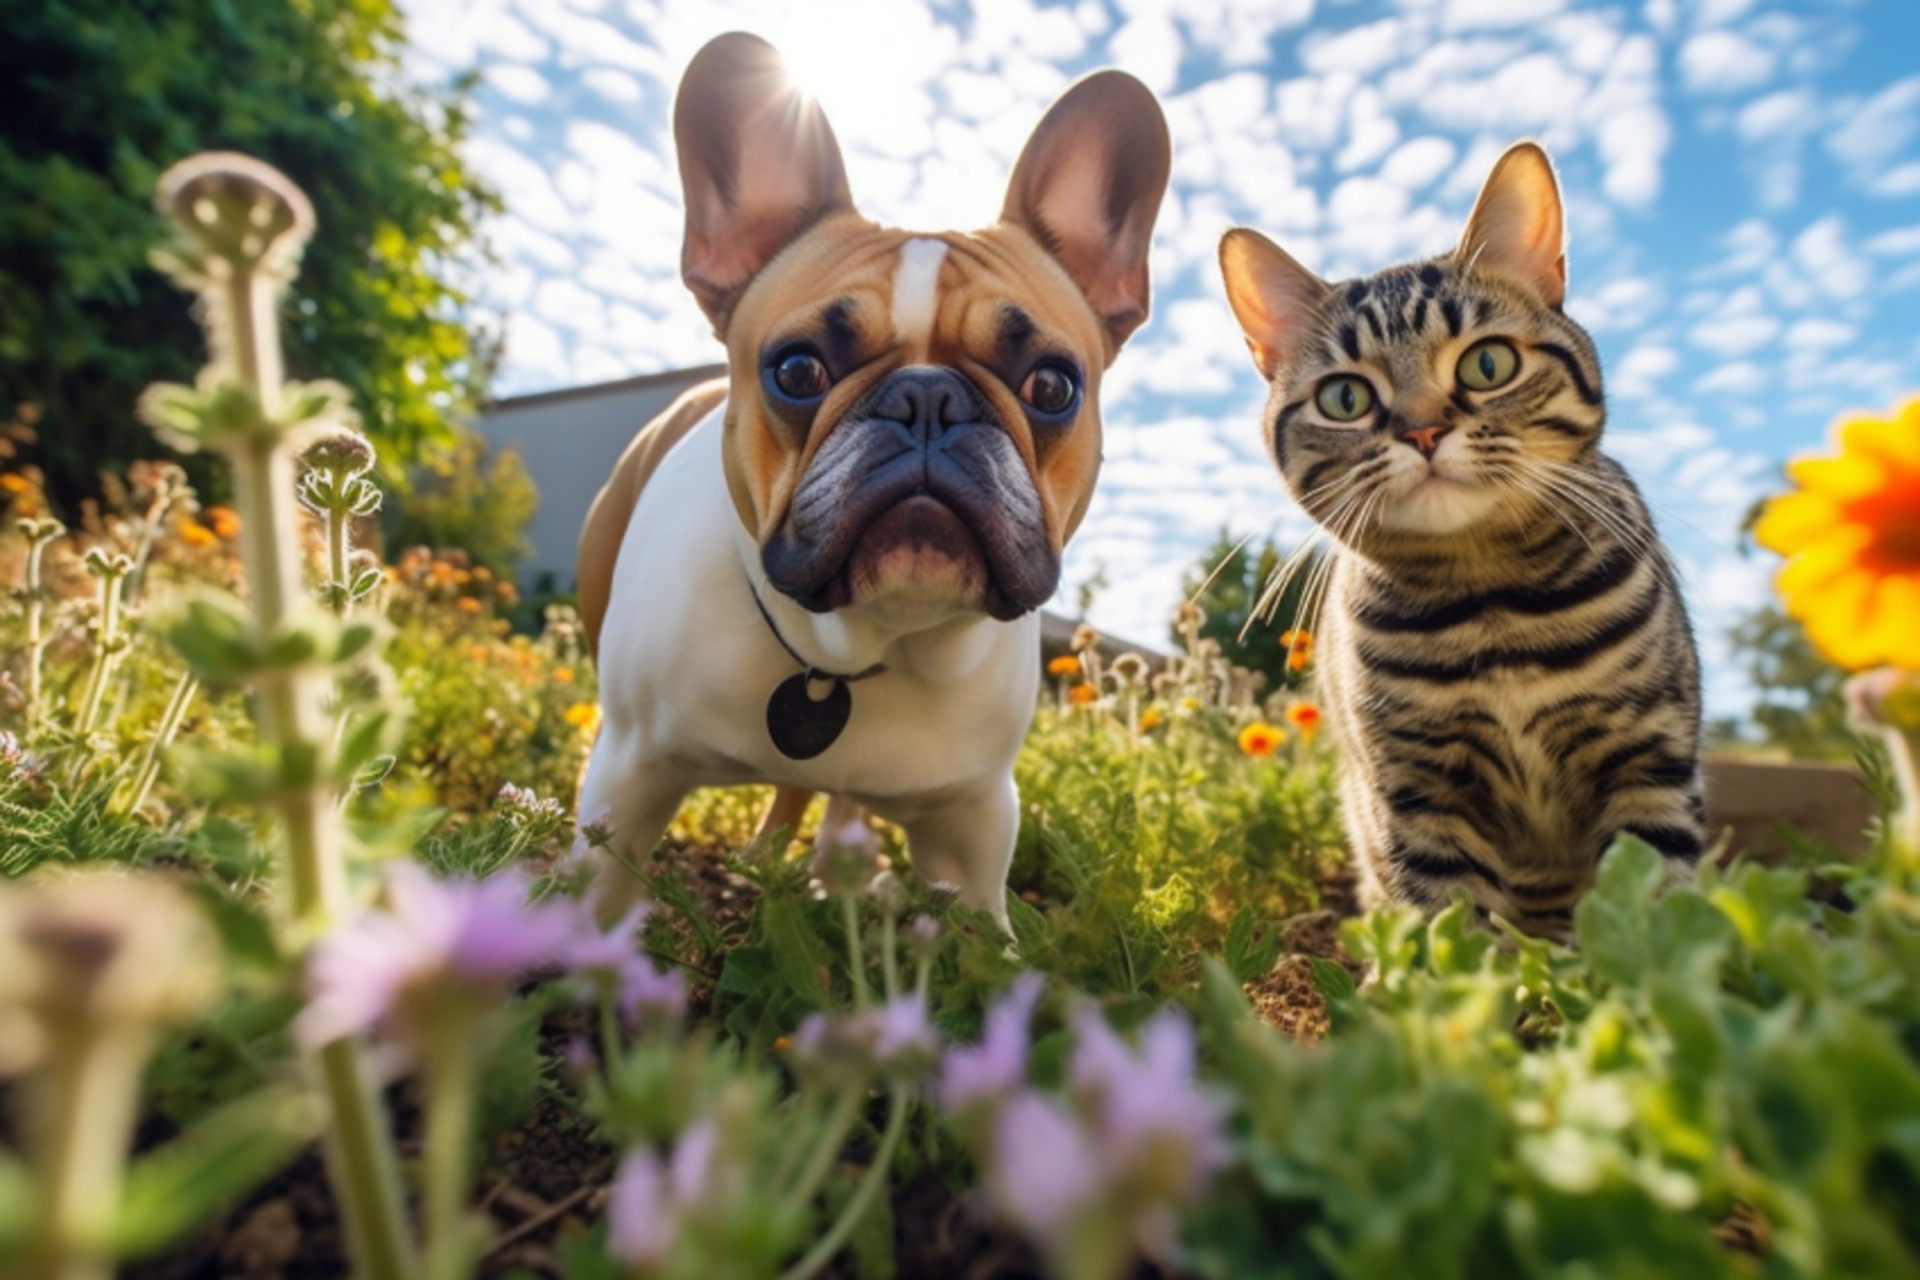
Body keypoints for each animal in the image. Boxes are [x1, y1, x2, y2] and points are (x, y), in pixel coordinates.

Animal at [1221, 142, 1704, 940]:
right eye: (1346, 398)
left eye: (1488, 363)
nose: (1422, 431)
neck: (1492, 604)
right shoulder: (1417, 793)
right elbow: (1454, 930)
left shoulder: (1650, 759)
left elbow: (1654, 907)